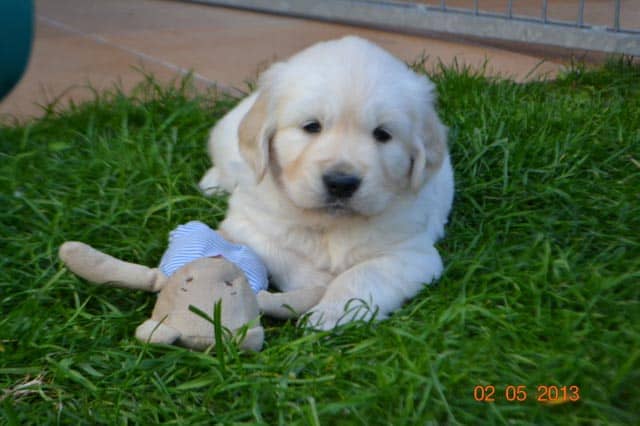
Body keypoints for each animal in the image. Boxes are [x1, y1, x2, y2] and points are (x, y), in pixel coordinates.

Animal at [199, 36, 454, 330]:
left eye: (382, 134)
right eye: (312, 126)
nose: (341, 183)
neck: (330, 223)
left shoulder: (412, 254)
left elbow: (362, 276)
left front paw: (329, 312)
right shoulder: (245, 225)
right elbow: (282, 254)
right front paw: (318, 282)